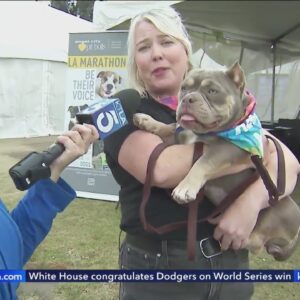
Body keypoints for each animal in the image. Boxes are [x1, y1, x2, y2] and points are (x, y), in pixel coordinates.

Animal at [134, 61, 300, 260]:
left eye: (212, 91)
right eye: (184, 88)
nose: (188, 98)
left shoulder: (229, 149)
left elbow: (203, 161)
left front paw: (185, 188)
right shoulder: (180, 135)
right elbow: (170, 126)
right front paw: (146, 120)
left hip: (274, 211)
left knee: (255, 243)